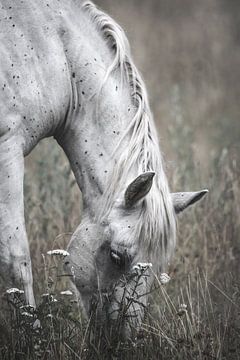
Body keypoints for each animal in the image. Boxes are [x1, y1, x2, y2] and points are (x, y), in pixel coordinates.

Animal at [0, 0, 206, 334]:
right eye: (116, 256)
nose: (122, 338)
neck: (52, 48)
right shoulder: (7, 148)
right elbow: (15, 260)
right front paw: (31, 337)